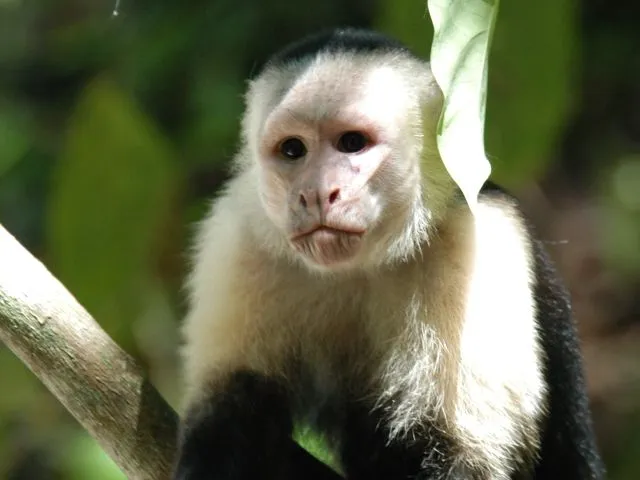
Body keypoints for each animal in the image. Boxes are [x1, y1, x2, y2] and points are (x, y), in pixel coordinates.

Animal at [174, 27, 604, 480]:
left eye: (352, 143)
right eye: (293, 150)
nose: (316, 193)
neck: (360, 266)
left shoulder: (475, 237)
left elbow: (453, 451)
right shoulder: (237, 238)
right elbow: (228, 414)